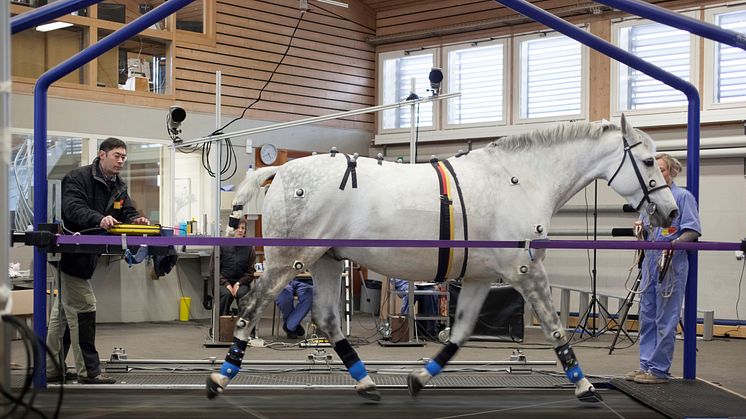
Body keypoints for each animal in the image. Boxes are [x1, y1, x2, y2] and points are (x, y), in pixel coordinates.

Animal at [206, 115, 676, 404]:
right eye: (648, 161)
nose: (670, 213)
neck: (519, 181)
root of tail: (280, 171)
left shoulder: (481, 277)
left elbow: (461, 331)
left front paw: (419, 377)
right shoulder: (526, 271)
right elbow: (555, 326)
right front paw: (584, 386)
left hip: (325, 261)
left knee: (325, 317)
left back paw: (366, 382)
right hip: (290, 260)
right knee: (250, 307)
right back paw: (220, 376)